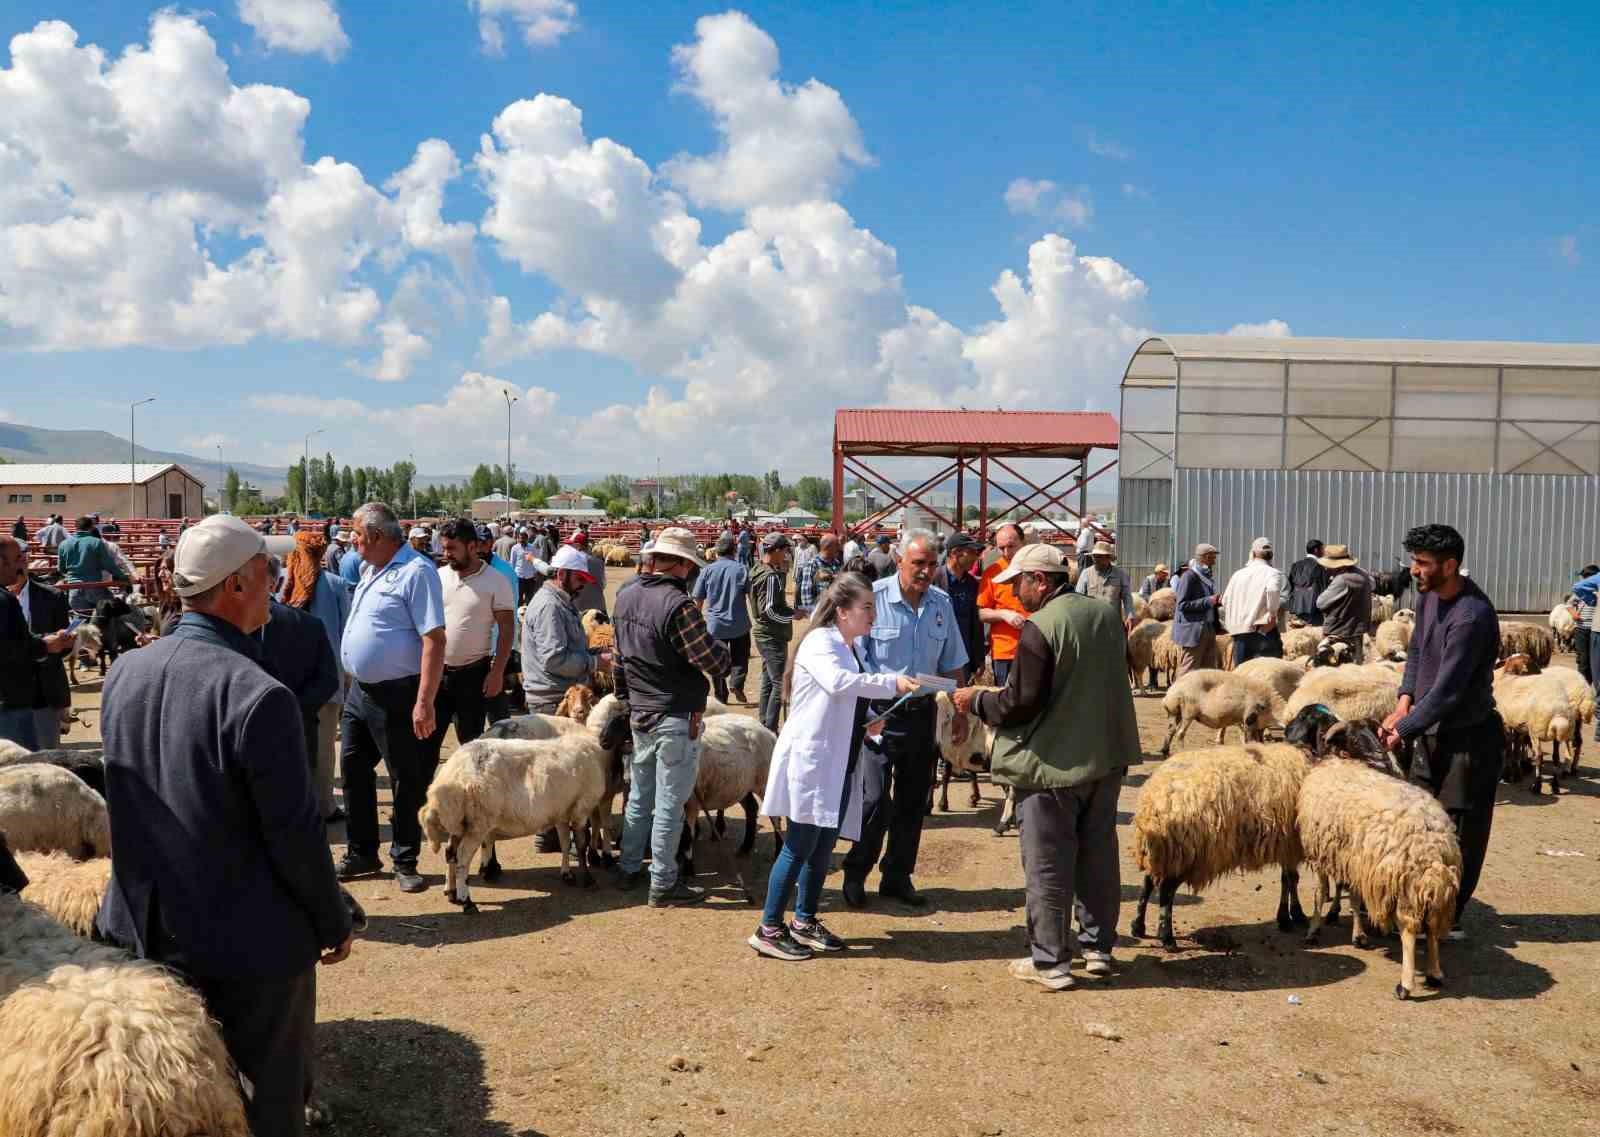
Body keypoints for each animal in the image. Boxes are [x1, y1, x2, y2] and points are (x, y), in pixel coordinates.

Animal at [419, 732, 611, 914]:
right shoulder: (582, 808)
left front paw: (567, 874)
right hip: (478, 823)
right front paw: (588, 879)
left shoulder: (562, 812)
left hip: (459, 822)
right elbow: (581, 845)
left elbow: (565, 843)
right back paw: (467, 903)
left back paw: (451, 893)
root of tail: (449, 775)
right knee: (462, 859)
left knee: (450, 853)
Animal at [1126, 738, 1312, 953]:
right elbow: (1291, 879)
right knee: (1166, 891)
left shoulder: (1286, 845)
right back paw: (1167, 939)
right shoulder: (1291, 844)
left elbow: (1288, 879)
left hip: (1162, 853)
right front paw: (1293, 916)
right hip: (1186, 853)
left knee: (1148, 882)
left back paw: (1138, 926)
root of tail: (1153, 805)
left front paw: (1288, 916)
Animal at [1292, 716, 1465, 997]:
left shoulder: (1322, 853)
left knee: (1410, 928)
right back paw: (1434, 973)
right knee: (1431, 926)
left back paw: (1405, 984)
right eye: (1355, 737)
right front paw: (1358, 935)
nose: (1383, 759)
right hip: (1423, 887)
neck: (1343, 759)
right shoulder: (1354, 859)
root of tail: (1433, 846)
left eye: (1373, 734)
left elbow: (1320, 893)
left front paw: (1313, 930)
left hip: (1406, 884)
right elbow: (1353, 896)